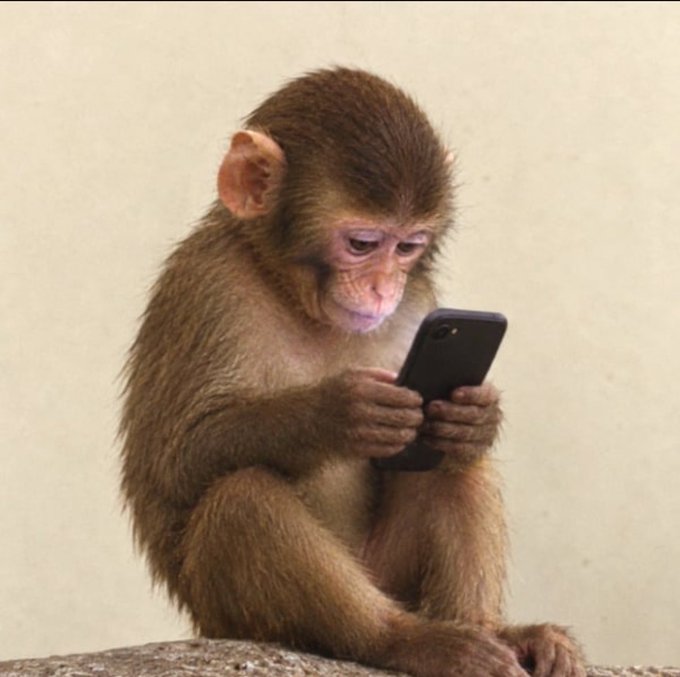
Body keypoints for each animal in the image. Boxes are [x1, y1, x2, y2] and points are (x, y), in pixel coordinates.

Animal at [120, 67, 585, 677]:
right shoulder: (207, 285)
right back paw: (401, 640)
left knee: (453, 461)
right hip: (231, 616)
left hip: (390, 573)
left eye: (408, 247)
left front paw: (478, 414)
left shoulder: (420, 303)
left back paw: (495, 630)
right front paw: (338, 412)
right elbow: (174, 461)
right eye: (362, 244)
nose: (383, 288)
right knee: (242, 497)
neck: (292, 294)